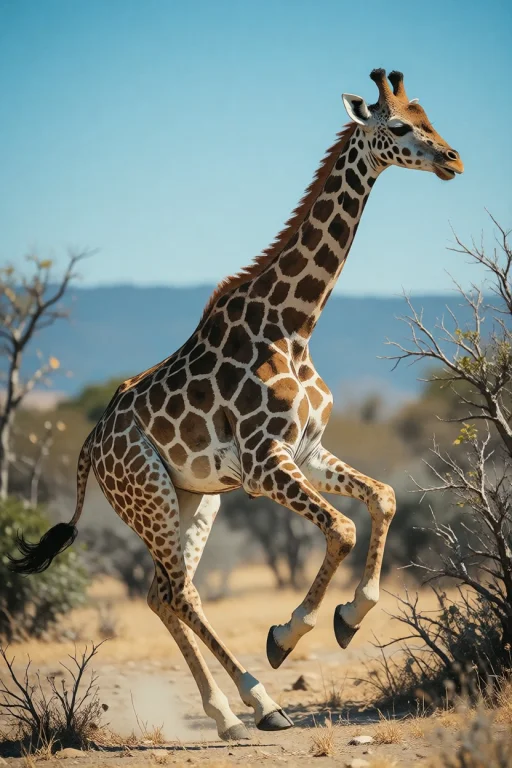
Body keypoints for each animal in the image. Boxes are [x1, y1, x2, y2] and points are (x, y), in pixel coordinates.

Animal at [10, 69, 463, 739]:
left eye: (431, 117)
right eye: (403, 126)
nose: (454, 159)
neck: (295, 324)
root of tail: (91, 445)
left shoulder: (307, 449)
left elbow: (381, 498)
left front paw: (349, 619)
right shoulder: (261, 460)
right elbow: (343, 527)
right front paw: (288, 635)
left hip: (193, 498)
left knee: (162, 590)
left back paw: (229, 713)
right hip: (150, 496)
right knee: (182, 591)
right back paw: (261, 701)